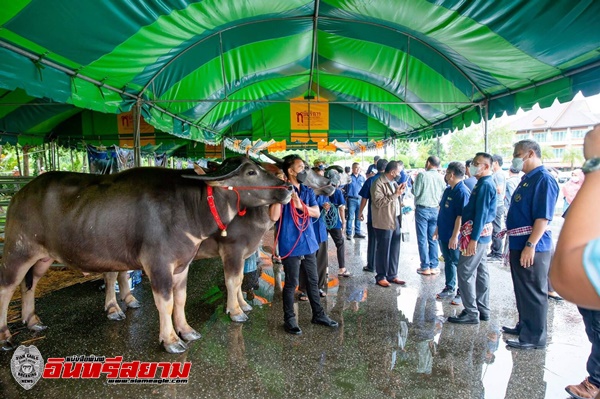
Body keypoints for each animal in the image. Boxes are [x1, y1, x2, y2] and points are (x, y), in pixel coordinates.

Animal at [0, 156, 290, 354]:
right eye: (251, 171)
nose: (287, 188)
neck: (190, 208)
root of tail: (19, 194)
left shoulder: (183, 264)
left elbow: (182, 299)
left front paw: (187, 330)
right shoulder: (166, 263)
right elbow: (171, 301)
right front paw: (172, 339)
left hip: (44, 257)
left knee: (29, 284)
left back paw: (33, 320)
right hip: (17, 250)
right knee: (7, 287)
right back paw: (5, 336)